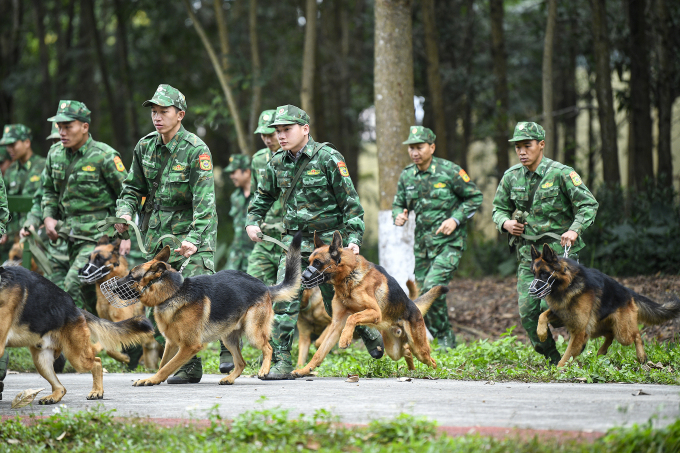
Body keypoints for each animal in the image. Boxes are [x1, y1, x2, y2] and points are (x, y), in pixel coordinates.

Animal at [0, 264, 153, 402]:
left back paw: (97, 391)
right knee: (61, 387)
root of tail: (76, 309)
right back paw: (54, 397)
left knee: (96, 362)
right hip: (41, 359)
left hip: (76, 357)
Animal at [79, 235, 163, 370]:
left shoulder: (120, 322)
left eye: (99, 259)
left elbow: (109, 349)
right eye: (89, 258)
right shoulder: (107, 324)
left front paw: (124, 358)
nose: (84, 273)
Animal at [110, 233, 302, 384]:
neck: (174, 293)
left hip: (252, 332)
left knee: (268, 348)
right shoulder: (171, 344)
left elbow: (167, 366)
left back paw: (264, 370)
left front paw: (152, 379)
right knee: (241, 363)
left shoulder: (189, 346)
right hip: (228, 338)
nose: (111, 287)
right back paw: (230, 378)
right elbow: (163, 364)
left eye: (131, 277)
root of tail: (264, 287)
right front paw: (152, 379)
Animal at [290, 230, 446, 374]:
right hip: (394, 350)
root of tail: (412, 305)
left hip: (419, 349)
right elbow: (319, 353)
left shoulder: (374, 312)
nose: (301, 279)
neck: (348, 276)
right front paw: (304, 370)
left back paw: (435, 372)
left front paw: (345, 339)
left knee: (431, 360)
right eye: (309, 261)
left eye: (318, 263)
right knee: (406, 351)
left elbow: (352, 317)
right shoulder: (335, 324)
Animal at [532, 244, 680, 368]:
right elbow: (542, 315)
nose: (532, 290)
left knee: (636, 335)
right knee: (610, 334)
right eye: (534, 274)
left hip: (622, 333)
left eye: (544, 274)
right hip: (596, 328)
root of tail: (628, 292)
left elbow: (568, 355)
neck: (567, 285)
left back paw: (641, 356)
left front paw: (558, 369)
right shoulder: (562, 314)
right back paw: (602, 351)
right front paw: (541, 333)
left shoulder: (579, 332)